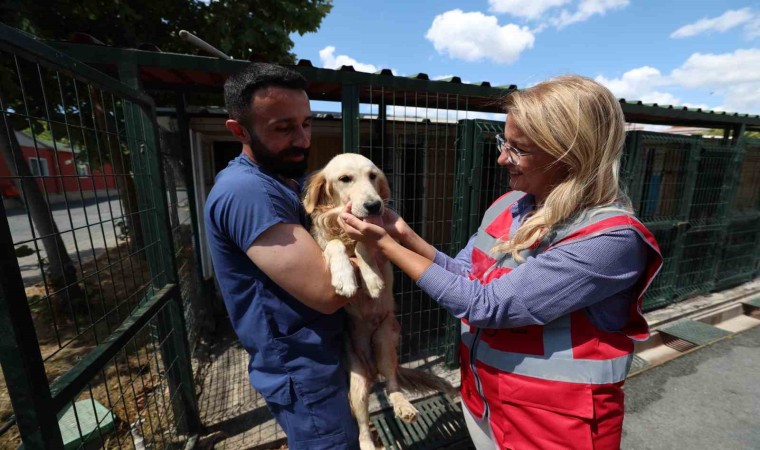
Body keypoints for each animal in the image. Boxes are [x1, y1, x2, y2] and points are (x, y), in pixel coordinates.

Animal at [304, 153, 458, 448]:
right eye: (345, 179)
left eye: (373, 176)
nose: (374, 205)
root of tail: (372, 368)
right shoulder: (322, 246)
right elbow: (334, 246)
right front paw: (345, 278)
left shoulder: (377, 243)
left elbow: (366, 243)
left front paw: (373, 279)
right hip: (357, 384)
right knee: (363, 425)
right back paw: (367, 443)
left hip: (386, 340)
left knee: (392, 383)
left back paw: (403, 406)